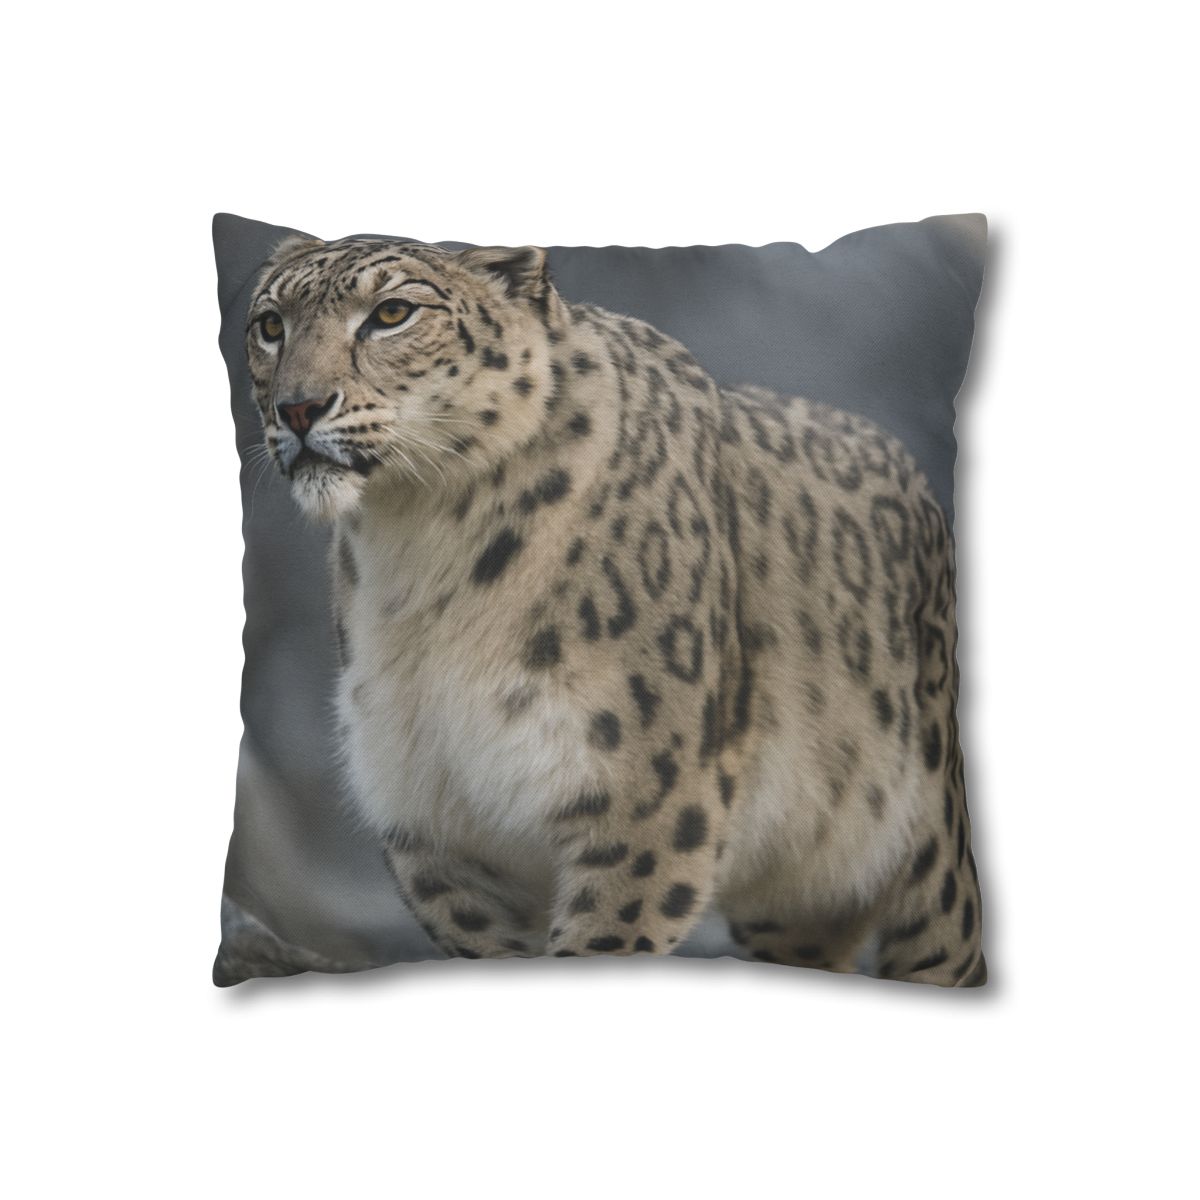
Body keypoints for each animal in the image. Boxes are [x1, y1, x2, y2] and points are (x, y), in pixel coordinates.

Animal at [244, 233, 986, 986]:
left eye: (393, 313)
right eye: (270, 325)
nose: (298, 408)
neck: (419, 553)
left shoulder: (642, 804)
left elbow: (601, 940)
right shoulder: (435, 826)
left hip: (935, 868)